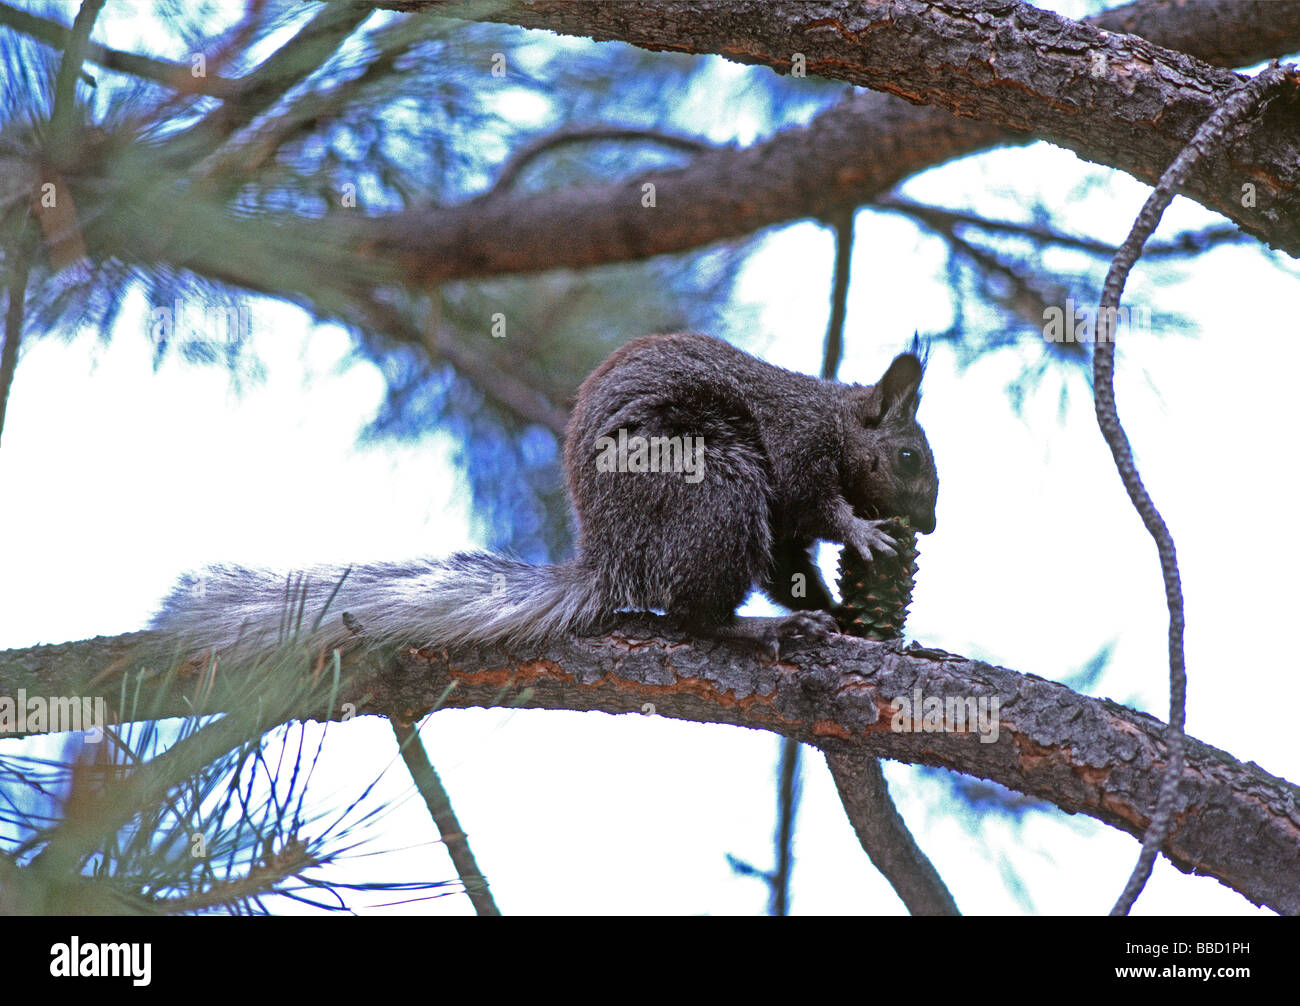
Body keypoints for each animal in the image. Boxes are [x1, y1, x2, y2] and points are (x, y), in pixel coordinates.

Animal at [152, 332, 941, 662]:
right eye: (909, 457)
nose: (930, 523)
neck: (834, 418)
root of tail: (609, 559)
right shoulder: (796, 453)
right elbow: (819, 511)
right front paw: (864, 534)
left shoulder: (783, 529)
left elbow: (789, 565)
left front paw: (845, 616)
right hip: (716, 489)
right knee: (694, 616)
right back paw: (752, 629)